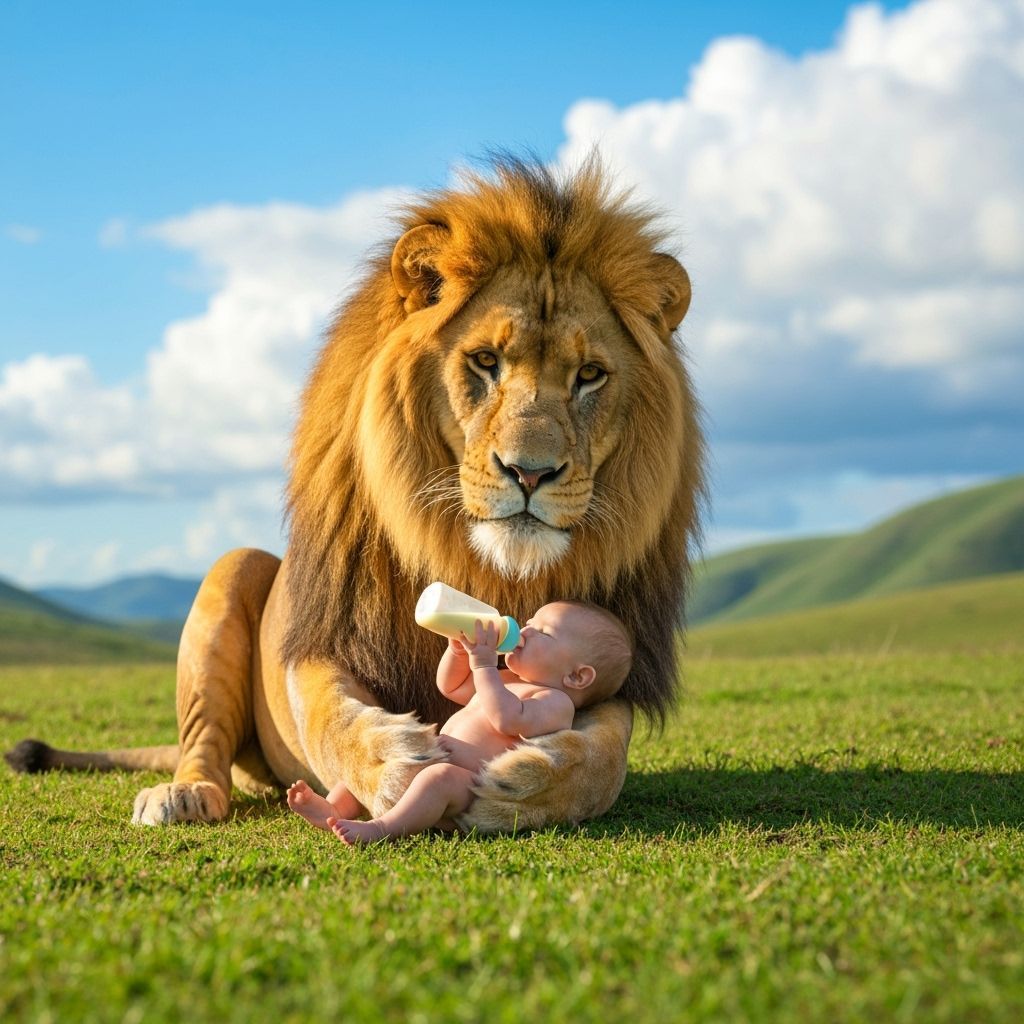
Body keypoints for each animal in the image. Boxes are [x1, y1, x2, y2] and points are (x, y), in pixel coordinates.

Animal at [6, 156, 704, 832]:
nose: (530, 473)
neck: (478, 562)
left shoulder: (613, 683)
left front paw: (528, 784)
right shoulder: (322, 638)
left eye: (589, 375)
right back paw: (187, 795)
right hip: (233, 572)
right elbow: (331, 719)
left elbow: (605, 755)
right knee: (203, 747)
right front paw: (394, 761)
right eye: (485, 361)